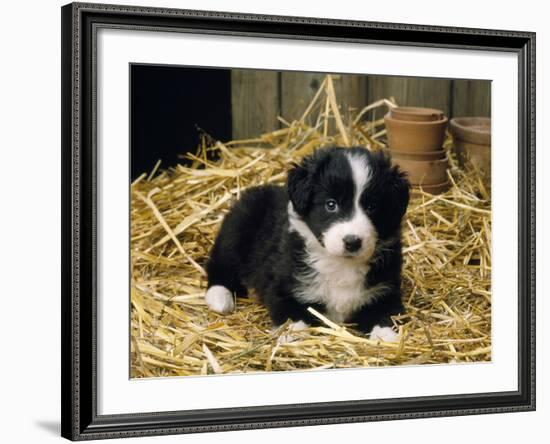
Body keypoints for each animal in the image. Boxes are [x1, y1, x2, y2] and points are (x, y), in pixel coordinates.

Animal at [206, 146, 410, 340]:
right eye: (331, 204)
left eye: (372, 207)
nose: (352, 242)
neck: (340, 264)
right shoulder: (286, 288)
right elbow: (293, 318)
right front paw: (291, 337)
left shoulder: (384, 291)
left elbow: (386, 316)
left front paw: (386, 337)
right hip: (237, 231)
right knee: (219, 266)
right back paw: (220, 298)